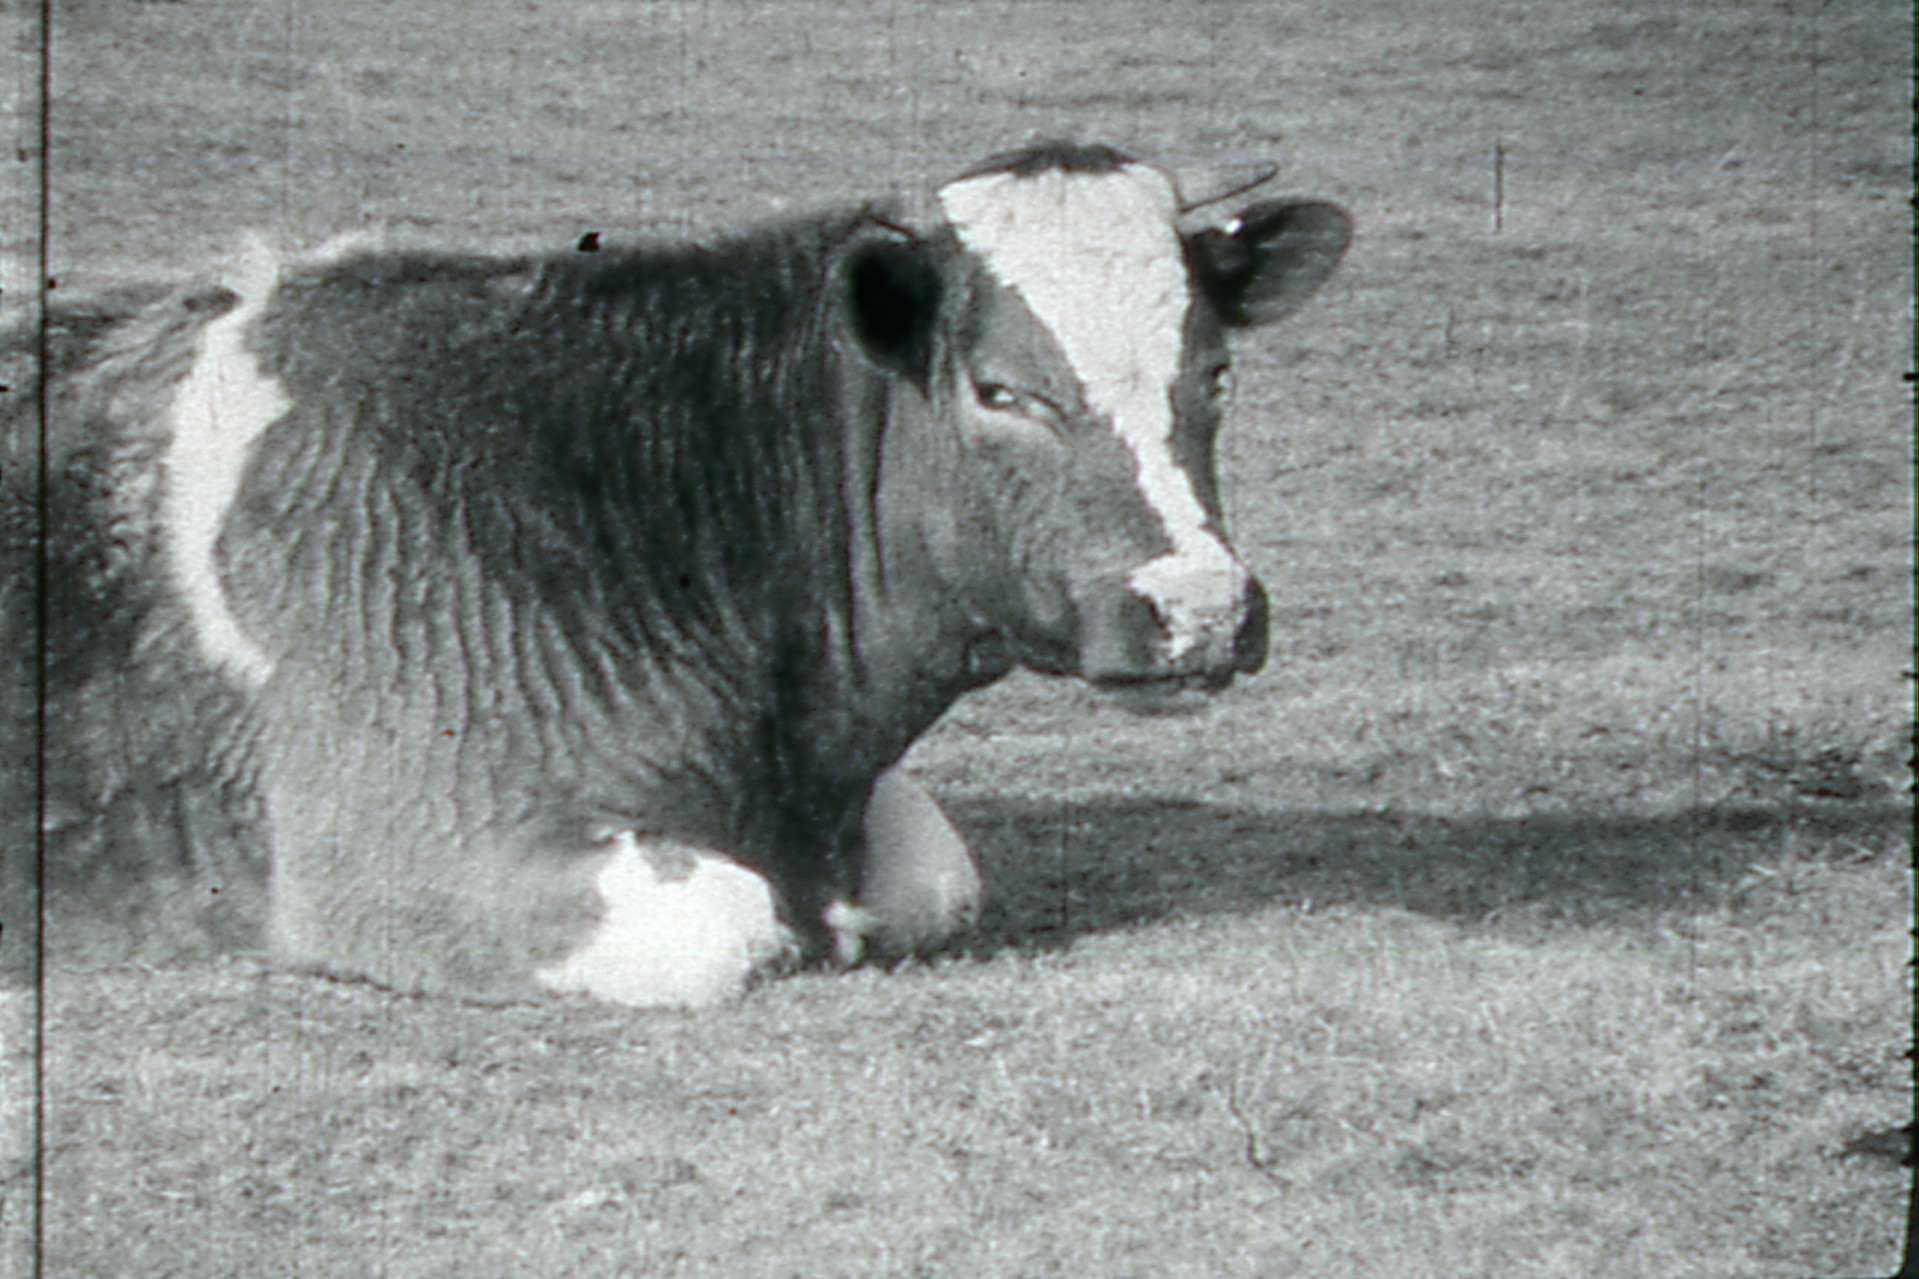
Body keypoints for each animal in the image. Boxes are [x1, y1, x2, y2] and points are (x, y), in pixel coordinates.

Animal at [1, 143, 1350, 1006]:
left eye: (1213, 371)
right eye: (999, 390)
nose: (1198, 608)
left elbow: (936, 878)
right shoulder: (388, 853)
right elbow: (732, 924)